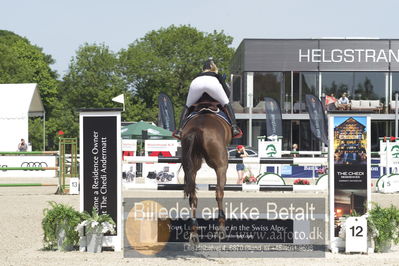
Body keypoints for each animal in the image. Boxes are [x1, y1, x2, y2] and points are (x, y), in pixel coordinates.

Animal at [180, 96, 233, 244]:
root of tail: (198, 128)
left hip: (191, 167)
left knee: (193, 196)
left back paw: (194, 234)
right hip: (221, 166)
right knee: (219, 192)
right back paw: (221, 229)